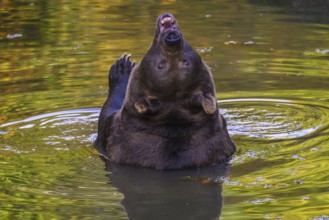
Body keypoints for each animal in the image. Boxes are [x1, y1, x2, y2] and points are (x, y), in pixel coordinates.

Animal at [95, 12, 236, 169]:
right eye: (161, 64)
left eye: (185, 61)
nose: (172, 38)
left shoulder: (112, 131)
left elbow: (105, 115)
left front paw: (123, 67)